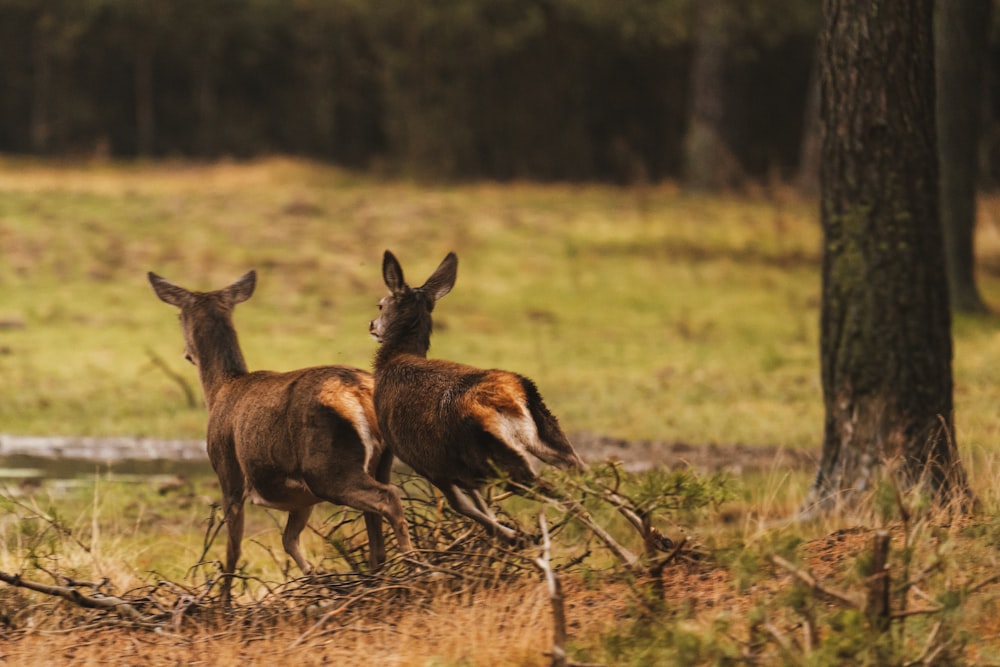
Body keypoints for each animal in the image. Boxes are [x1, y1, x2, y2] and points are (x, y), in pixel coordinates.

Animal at [149, 268, 414, 604]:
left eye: (178, 316)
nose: (187, 354)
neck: (220, 389)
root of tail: (360, 392)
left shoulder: (228, 471)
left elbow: (234, 549)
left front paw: (223, 603)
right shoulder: (301, 500)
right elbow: (289, 540)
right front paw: (317, 582)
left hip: (328, 467)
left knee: (388, 498)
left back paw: (416, 567)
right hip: (378, 462)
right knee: (376, 525)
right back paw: (380, 581)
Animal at [372, 250, 644, 568]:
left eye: (381, 304)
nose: (372, 325)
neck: (391, 363)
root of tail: (509, 397)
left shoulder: (422, 460)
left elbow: (463, 506)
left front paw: (515, 537)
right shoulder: (459, 469)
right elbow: (479, 503)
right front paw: (510, 538)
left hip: (504, 460)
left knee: (567, 496)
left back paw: (630, 557)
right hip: (549, 436)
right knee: (593, 478)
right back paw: (657, 539)